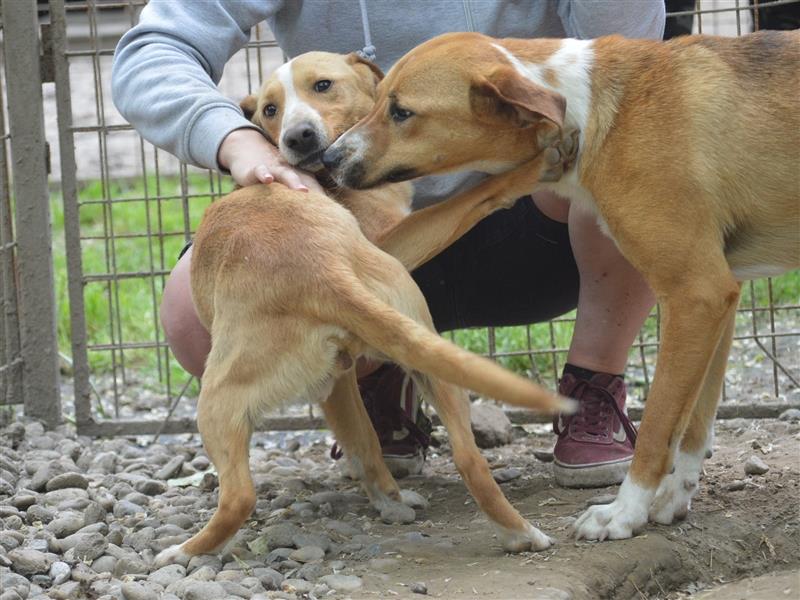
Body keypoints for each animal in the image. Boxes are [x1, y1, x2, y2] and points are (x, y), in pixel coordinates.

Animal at [153, 51, 580, 568]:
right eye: (270, 110)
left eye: (322, 85)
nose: (298, 137)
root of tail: (316, 269)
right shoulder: (385, 263)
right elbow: (472, 196)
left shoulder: (338, 377)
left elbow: (364, 444)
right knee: (464, 458)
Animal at [324, 30, 800, 540]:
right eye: (378, 100)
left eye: (402, 112)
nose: (327, 158)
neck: (596, 112)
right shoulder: (720, 296)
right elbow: (693, 424)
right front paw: (673, 501)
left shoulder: (696, 293)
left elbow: (657, 427)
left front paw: (624, 513)